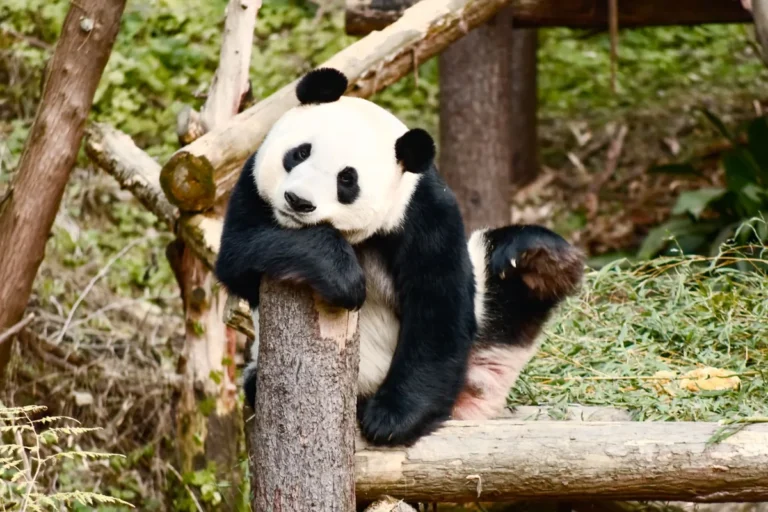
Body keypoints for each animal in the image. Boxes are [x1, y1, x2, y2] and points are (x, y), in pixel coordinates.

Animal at [215, 67, 584, 447]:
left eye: (347, 180)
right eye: (300, 153)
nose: (297, 201)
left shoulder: (424, 212)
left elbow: (437, 306)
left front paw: (391, 420)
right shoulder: (251, 183)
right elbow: (239, 252)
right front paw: (343, 277)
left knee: (502, 289)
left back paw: (540, 263)